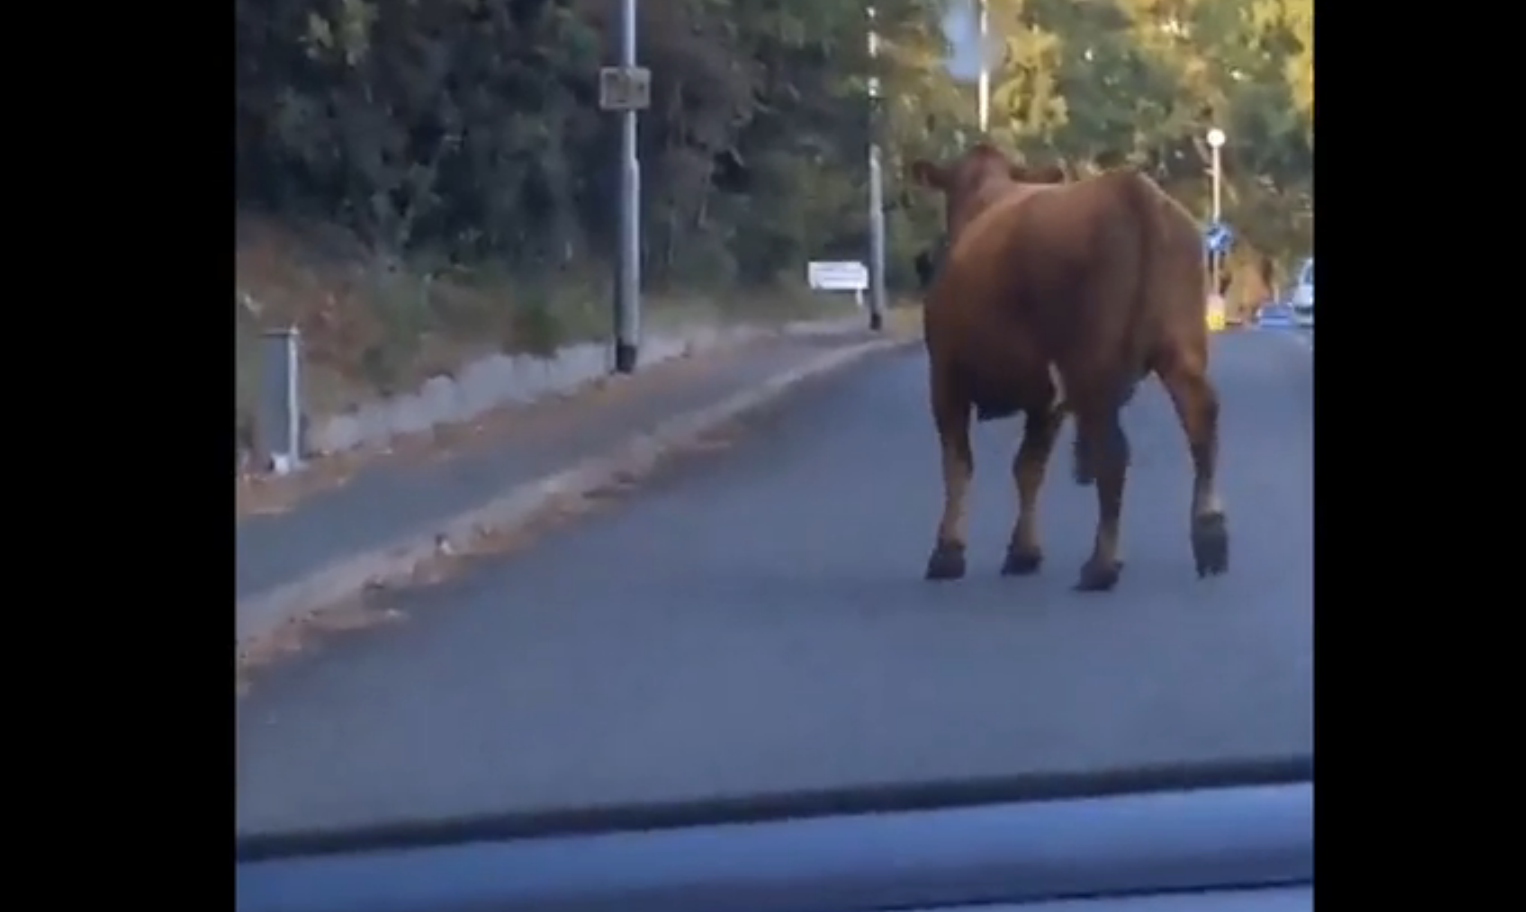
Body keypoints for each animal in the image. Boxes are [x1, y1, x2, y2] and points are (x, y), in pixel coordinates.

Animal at [903, 144, 1226, 594]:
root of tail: (1130, 188)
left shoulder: (946, 376)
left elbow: (959, 465)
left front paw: (948, 552)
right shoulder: (1046, 396)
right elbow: (1028, 468)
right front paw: (1024, 552)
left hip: (1090, 363)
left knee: (1113, 452)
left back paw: (1101, 565)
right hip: (1180, 348)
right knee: (1200, 424)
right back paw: (1210, 538)